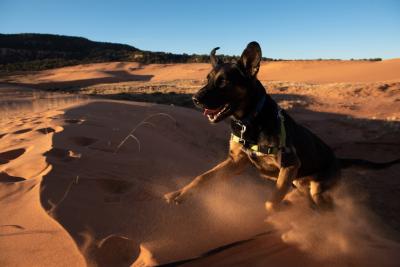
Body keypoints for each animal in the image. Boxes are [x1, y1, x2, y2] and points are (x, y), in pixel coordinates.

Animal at [163, 42, 400, 213]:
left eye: (224, 82)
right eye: (208, 79)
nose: (195, 99)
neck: (251, 120)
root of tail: (337, 160)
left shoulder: (288, 165)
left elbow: (270, 204)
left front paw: (279, 214)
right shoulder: (236, 162)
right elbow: (202, 177)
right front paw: (179, 194)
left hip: (318, 190)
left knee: (327, 208)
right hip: (301, 185)